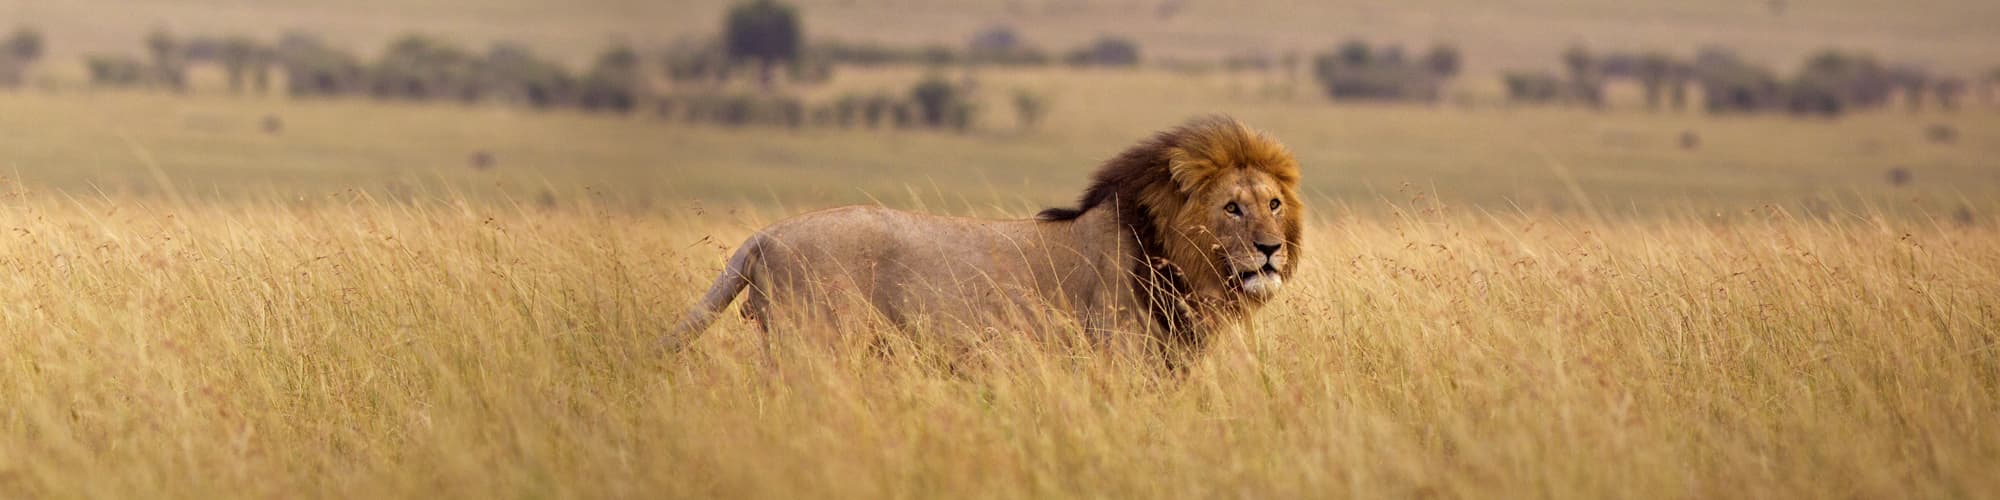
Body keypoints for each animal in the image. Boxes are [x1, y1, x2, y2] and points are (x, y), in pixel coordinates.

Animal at [664, 116, 1304, 368]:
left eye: (1273, 204)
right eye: (1232, 208)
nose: (1270, 250)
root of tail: (764, 235)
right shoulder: (1118, 363)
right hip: (816, 347)